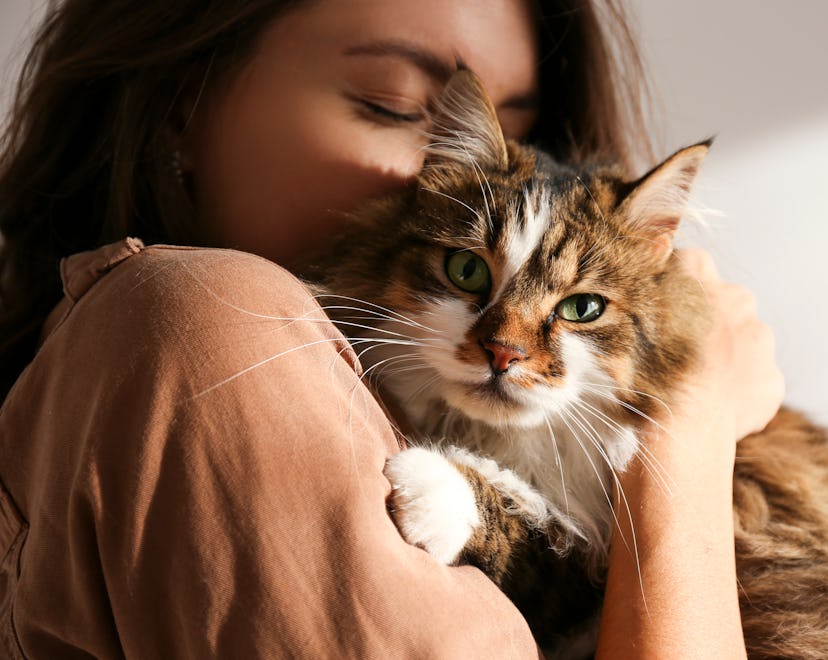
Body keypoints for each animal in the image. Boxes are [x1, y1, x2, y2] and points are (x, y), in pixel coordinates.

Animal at [304, 69, 828, 656]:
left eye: (583, 308)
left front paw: (433, 487)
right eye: (466, 270)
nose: (502, 352)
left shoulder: (583, 573)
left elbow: (531, 530)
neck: (505, 443)